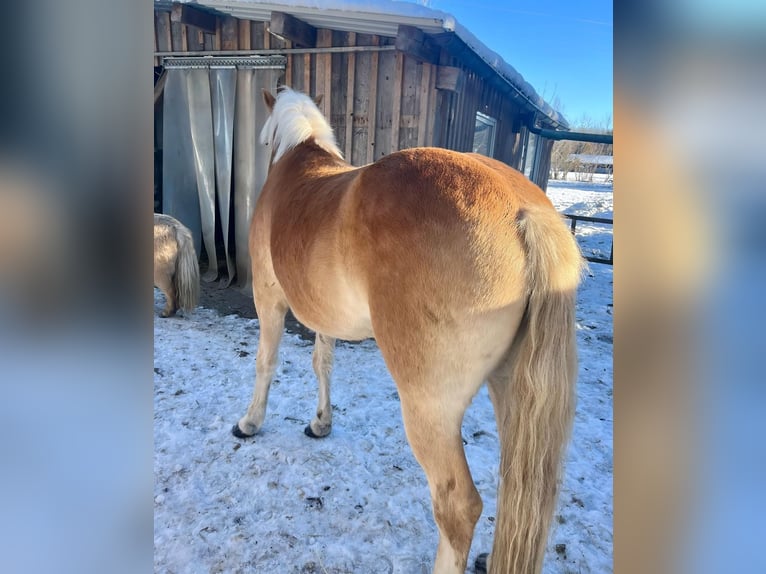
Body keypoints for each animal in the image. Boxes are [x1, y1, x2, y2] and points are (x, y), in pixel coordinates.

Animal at [231, 86, 584, 574]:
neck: (300, 164)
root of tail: (522, 210)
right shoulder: (325, 315)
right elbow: (323, 362)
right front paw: (321, 423)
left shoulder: (268, 298)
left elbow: (266, 362)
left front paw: (250, 422)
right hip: (515, 393)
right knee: (519, 490)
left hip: (429, 409)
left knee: (458, 506)